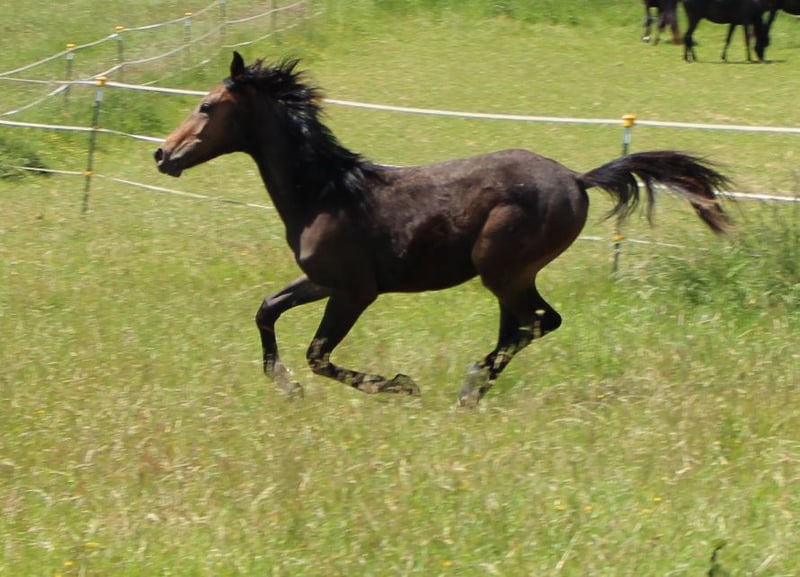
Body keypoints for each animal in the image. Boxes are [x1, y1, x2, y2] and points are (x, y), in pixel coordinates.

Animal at [154, 53, 731, 406]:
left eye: (207, 106)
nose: (162, 155)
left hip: (501, 269)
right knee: (525, 326)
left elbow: (319, 355)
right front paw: (285, 386)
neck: (326, 194)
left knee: (536, 322)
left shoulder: (355, 291)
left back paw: (469, 385)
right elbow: (267, 309)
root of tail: (575, 178)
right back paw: (474, 391)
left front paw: (398, 384)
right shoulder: (320, 280)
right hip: (511, 275)